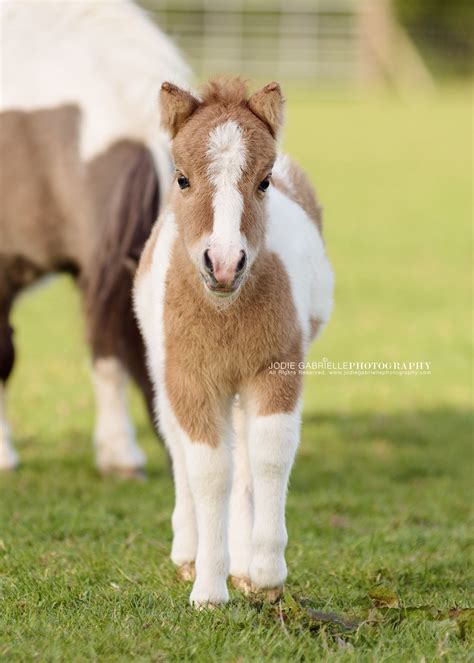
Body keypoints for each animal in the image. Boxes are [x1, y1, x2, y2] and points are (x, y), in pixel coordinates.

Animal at [133, 78, 334, 608]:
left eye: (263, 181)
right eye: (182, 178)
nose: (223, 265)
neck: (224, 313)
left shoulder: (276, 368)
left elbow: (268, 454)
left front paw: (264, 573)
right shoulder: (190, 378)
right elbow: (208, 470)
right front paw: (208, 588)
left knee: (243, 455)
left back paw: (242, 562)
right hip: (164, 375)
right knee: (179, 448)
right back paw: (188, 551)